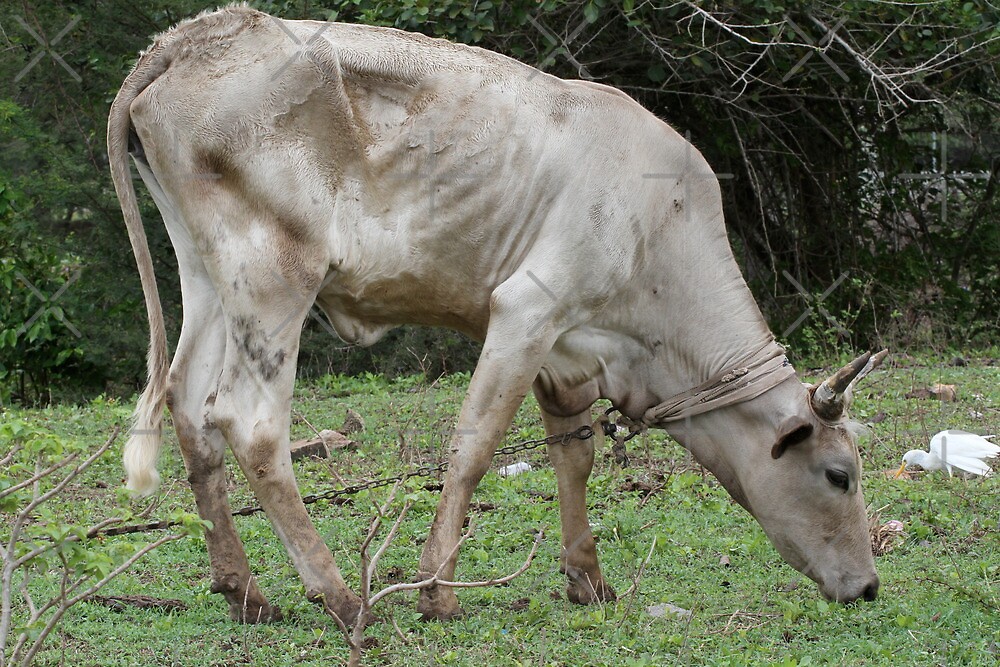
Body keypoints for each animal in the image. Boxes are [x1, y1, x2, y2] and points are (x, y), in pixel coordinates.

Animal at [107, 5, 884, 624]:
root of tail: (198, 33)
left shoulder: (568, 350)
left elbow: (574, 453)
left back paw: (244, 592)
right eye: (838, 475)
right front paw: (437, 592)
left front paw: (587, 580)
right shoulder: (528, 308)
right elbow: (474, 446)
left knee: (188, 402)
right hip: (275, 276)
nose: (871, 586)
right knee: (248, 421)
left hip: (210, 276)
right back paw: (343, 597)